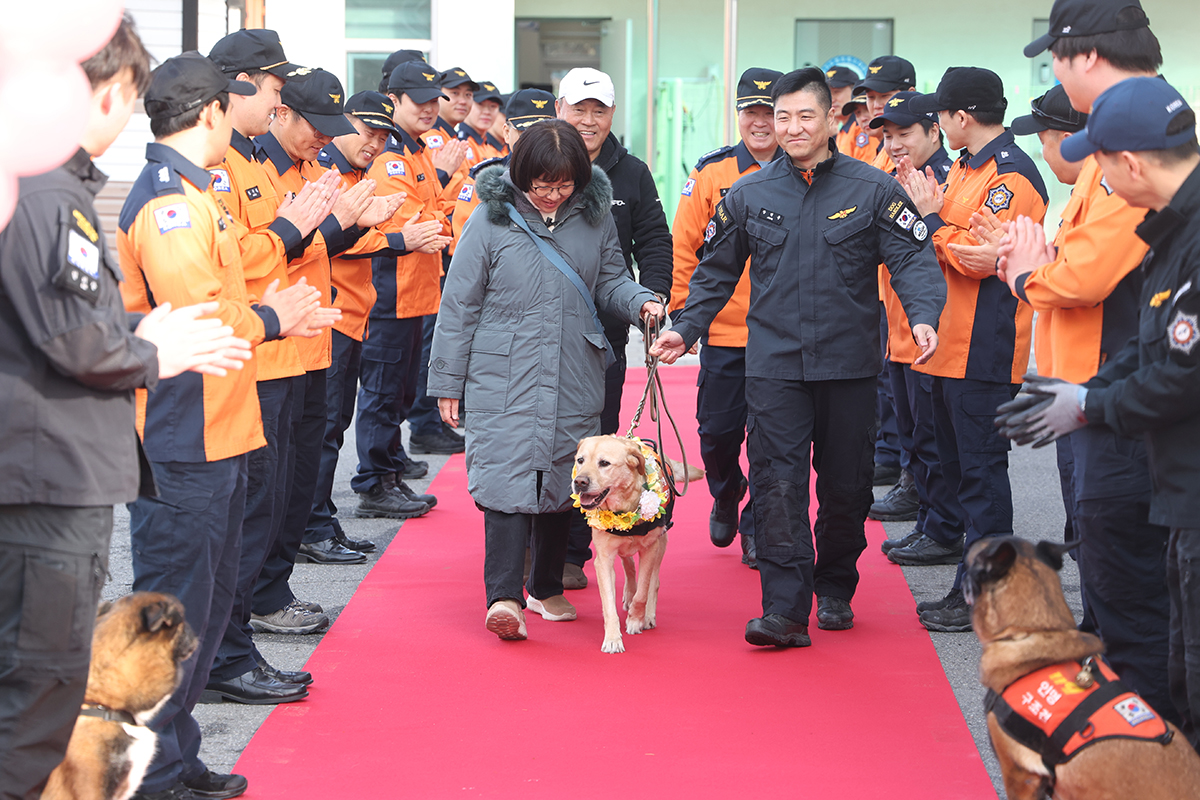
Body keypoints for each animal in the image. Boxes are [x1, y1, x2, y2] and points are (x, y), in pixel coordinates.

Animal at [573, 434, 672, 652]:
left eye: (604, 463)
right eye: (580, 460)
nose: (579, 482)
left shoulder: (650, 549)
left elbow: (643, 591)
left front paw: (635, 620)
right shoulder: (603, 560)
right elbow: (608, 604)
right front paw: (612, 638)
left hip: (661, 543)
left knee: (654, 582)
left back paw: (648, 614)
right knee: (629, 564)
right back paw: (628, 592)